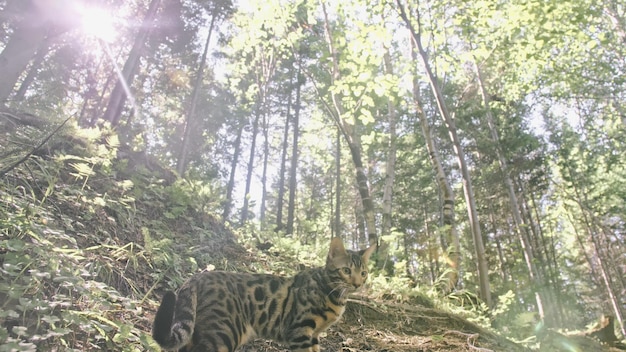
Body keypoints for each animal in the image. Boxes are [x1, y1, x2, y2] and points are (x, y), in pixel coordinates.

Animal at [153, 236, 372, 352]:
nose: (357, 284)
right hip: (223, 332)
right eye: (346, 271)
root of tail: (197, 276)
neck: (333, 292)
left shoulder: (314, 335)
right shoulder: (300, 330)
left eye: (363, 273)